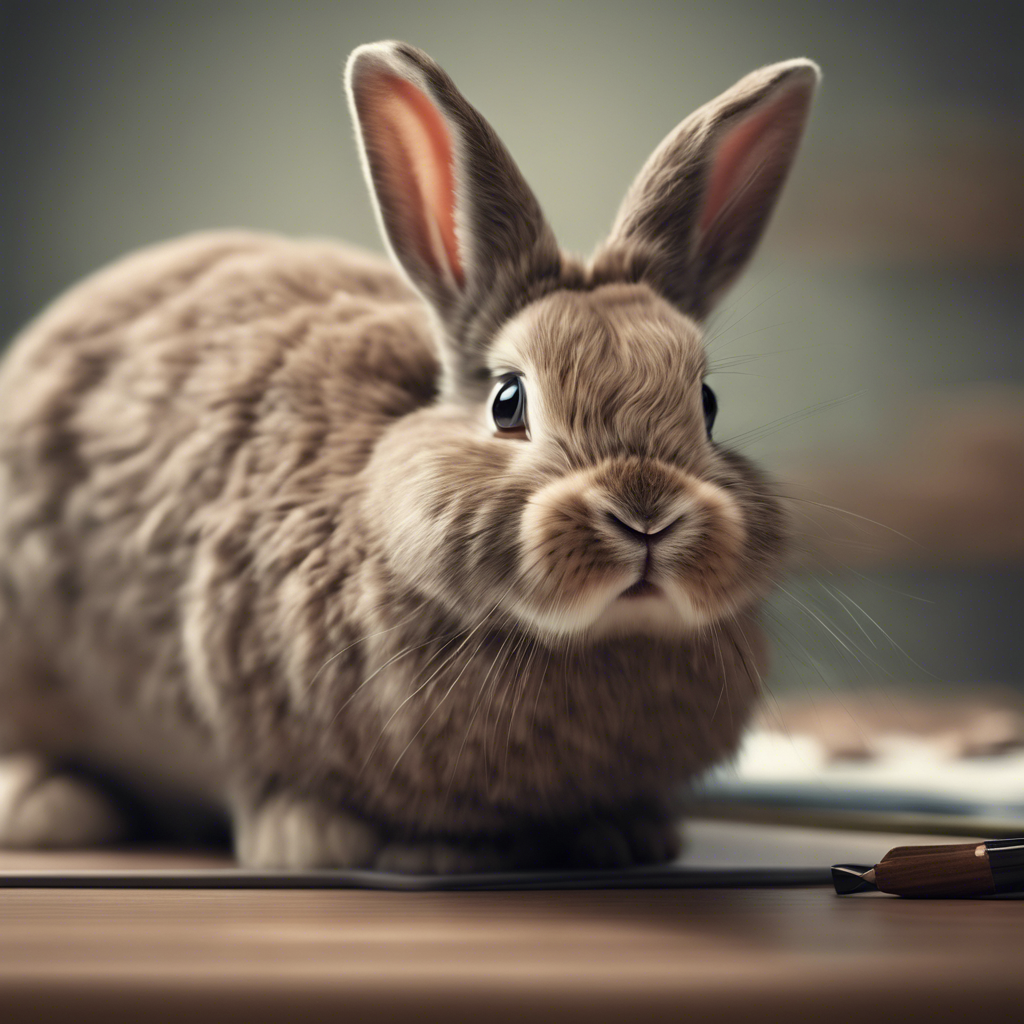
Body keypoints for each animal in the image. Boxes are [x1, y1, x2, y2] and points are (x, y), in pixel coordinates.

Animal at [0, 41, 819, 872]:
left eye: (707, 405)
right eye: (508, 402)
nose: (646, 514)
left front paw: (627, 837)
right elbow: (262, 775)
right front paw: (321, 841)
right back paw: (49, 807)